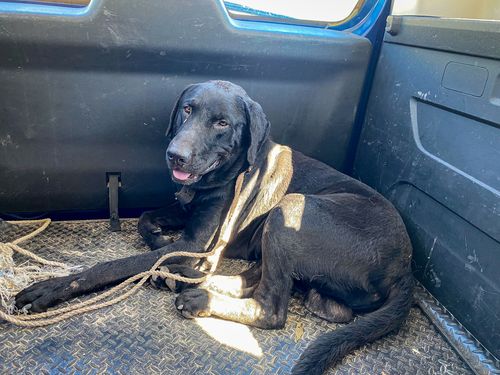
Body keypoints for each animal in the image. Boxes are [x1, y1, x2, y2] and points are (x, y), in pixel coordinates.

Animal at [15, 81, 414, 374]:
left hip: (289, 209)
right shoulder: (188, 213)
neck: (227, 172)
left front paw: (50, 289)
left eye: (222, 123)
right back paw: (184, 278)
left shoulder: (197, 240)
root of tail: (404, 269)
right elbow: (147, 219)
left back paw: (197, 295)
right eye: (187, 109)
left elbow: (110, 266)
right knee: (266, 281)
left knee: (271, 306)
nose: (175, 155)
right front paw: (159, 241)